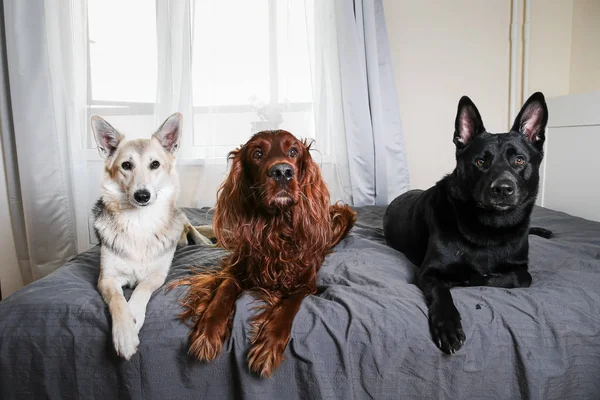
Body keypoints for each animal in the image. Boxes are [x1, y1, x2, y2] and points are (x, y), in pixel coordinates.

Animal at [384, 93, 548, 354]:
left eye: (519, 160)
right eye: (480, 162)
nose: (502, 189)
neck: (490, 230)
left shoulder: (520, 268)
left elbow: (522, 277)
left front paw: (478, 278)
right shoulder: (429, 273)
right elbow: (442, 292)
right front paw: (448, 325)